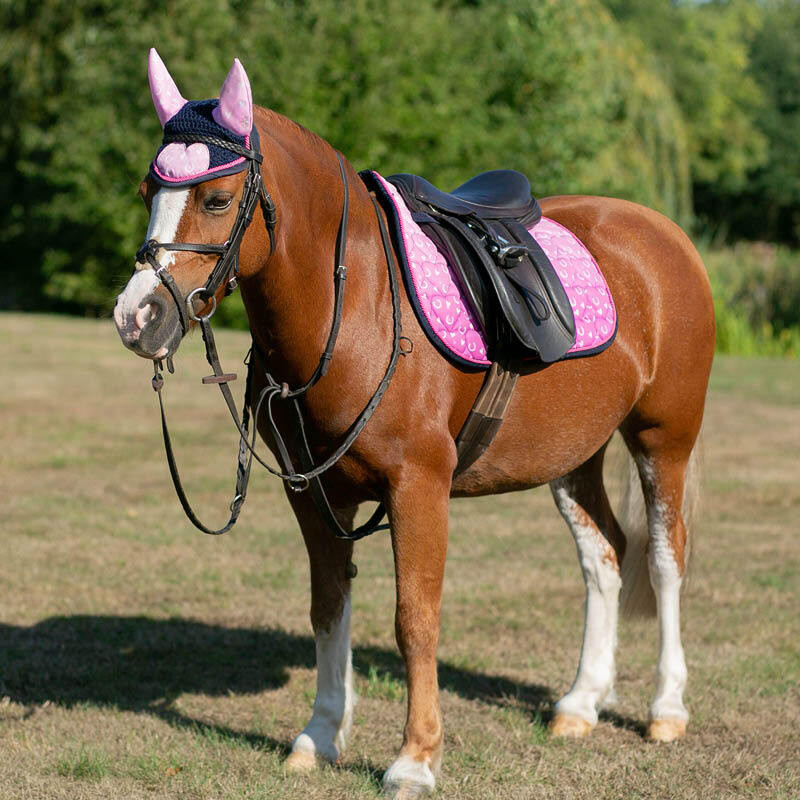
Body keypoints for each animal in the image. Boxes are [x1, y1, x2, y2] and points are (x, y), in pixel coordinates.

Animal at [113, 51, 715, 798]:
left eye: (218, 200)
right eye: (147, 190)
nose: (136, 317)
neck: (358, 309)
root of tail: (664, 234)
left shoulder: (418, 489)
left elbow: (415, 621)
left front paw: (415, 758)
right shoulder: (313, 494)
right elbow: (328, 607)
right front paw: (321, 733)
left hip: (664, 439)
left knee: (664, 559)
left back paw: (666, 707)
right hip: (575, 456)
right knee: (603, 555)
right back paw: (581, 702)